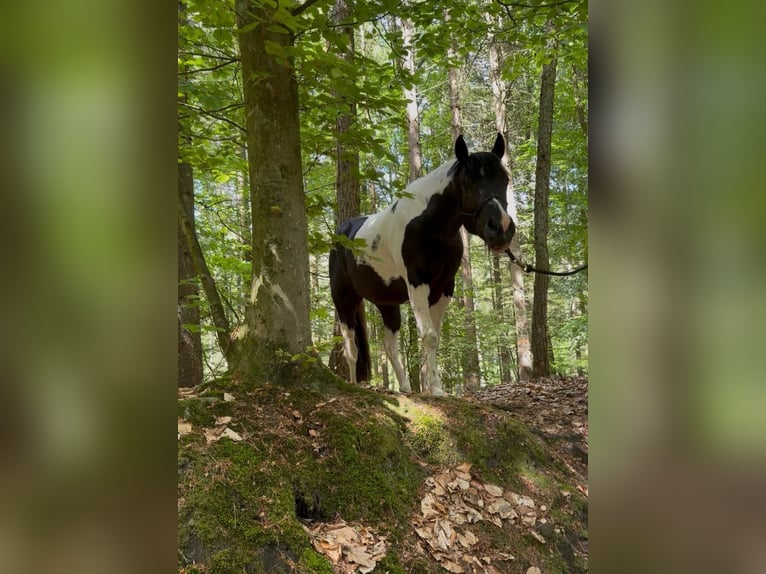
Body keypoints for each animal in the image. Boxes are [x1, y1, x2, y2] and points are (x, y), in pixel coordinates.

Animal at [329, 133, 516, 395]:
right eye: (467, 182)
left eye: (504, 180)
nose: (501, 228)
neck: (431, 227)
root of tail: (341, 234)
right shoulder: (418, 283)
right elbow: (428, 336)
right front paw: (435, 390)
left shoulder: (443, 288)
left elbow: (435, 336)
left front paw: (432, 386)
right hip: (345, 301)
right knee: (351, 349)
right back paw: (356, 385)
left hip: (387, 304)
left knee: (389, 347)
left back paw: (405, 388)